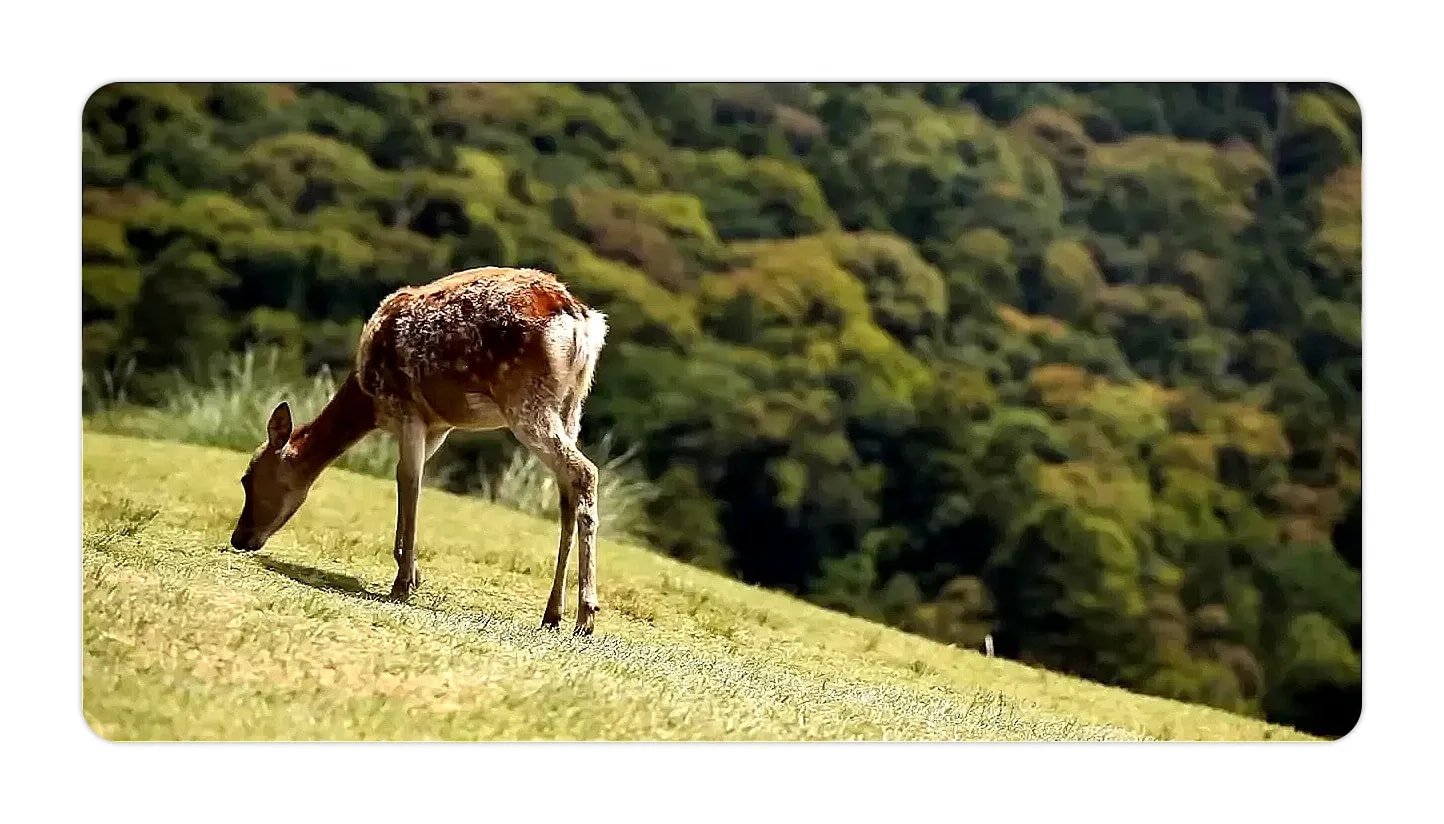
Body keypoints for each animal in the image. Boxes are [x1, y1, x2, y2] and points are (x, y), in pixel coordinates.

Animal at [228, 267, 610, 635]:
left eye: (247, 478)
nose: (239, 538)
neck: (368, 400)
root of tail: (583, 323)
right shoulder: (438, 425)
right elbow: (408, 478)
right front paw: (409, 571)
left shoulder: (407, 407)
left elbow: (409, 480)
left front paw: (403, 581)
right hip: (571, 406)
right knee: (566, 492)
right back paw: (552, 613)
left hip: (525, 399)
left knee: (584, 471)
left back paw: (585, 616)